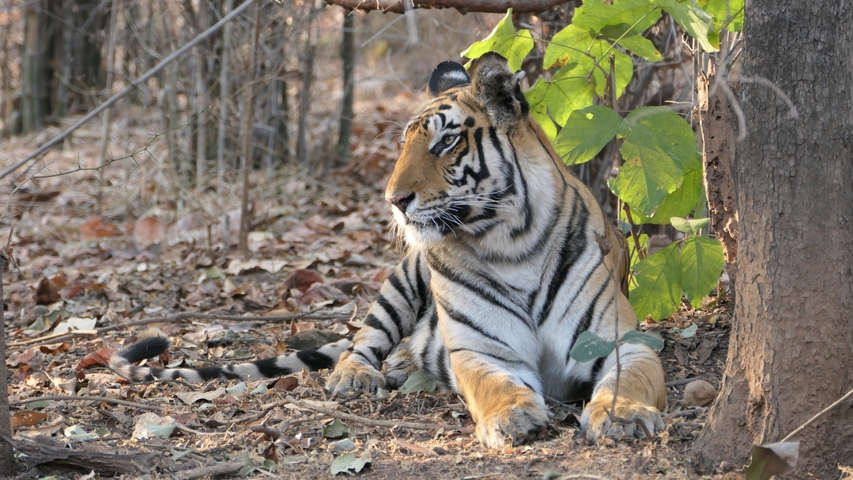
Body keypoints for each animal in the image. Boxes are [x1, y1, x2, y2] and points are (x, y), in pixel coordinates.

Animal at [110, 52, 666, 448]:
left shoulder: (624, 340)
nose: (393, 200)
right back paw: (357, 377)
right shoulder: (482, 351)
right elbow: (496, 386)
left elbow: (629, 381)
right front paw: (513, 416)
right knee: (359, 342)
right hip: (400, 282)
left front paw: (623, 415)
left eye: (445, 143)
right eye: (404, 143)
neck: (514, 245)